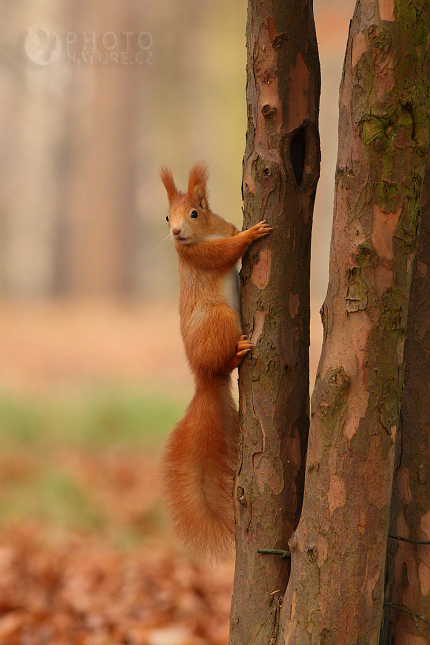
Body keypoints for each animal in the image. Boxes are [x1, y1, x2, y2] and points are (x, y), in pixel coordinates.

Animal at [160, 162, 270, 560]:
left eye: (195, 212)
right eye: (167, 216)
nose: (176, 233)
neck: (202, 236)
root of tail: (204, 377)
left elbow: (228, 235)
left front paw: (240, 227)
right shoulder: (199, 256)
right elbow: (225, 253)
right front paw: (252, 233)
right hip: (220, 318)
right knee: (227, 361)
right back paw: (238, 351)